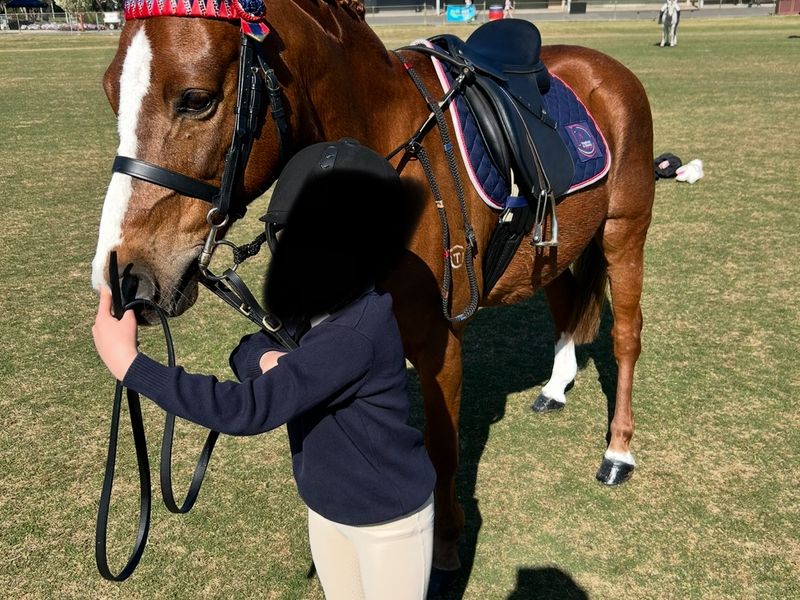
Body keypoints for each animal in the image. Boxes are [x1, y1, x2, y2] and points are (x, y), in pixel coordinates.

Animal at [92, 1, 654, 572]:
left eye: (196, 99)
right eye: (112, 96)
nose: (122, 276)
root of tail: (604, 66)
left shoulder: (440, 340)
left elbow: (441, 447)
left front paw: (445, 543)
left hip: (625, 230)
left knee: (626, 337)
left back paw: (618, 451)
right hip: (553, 250)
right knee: (565, 307)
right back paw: (555, 388)